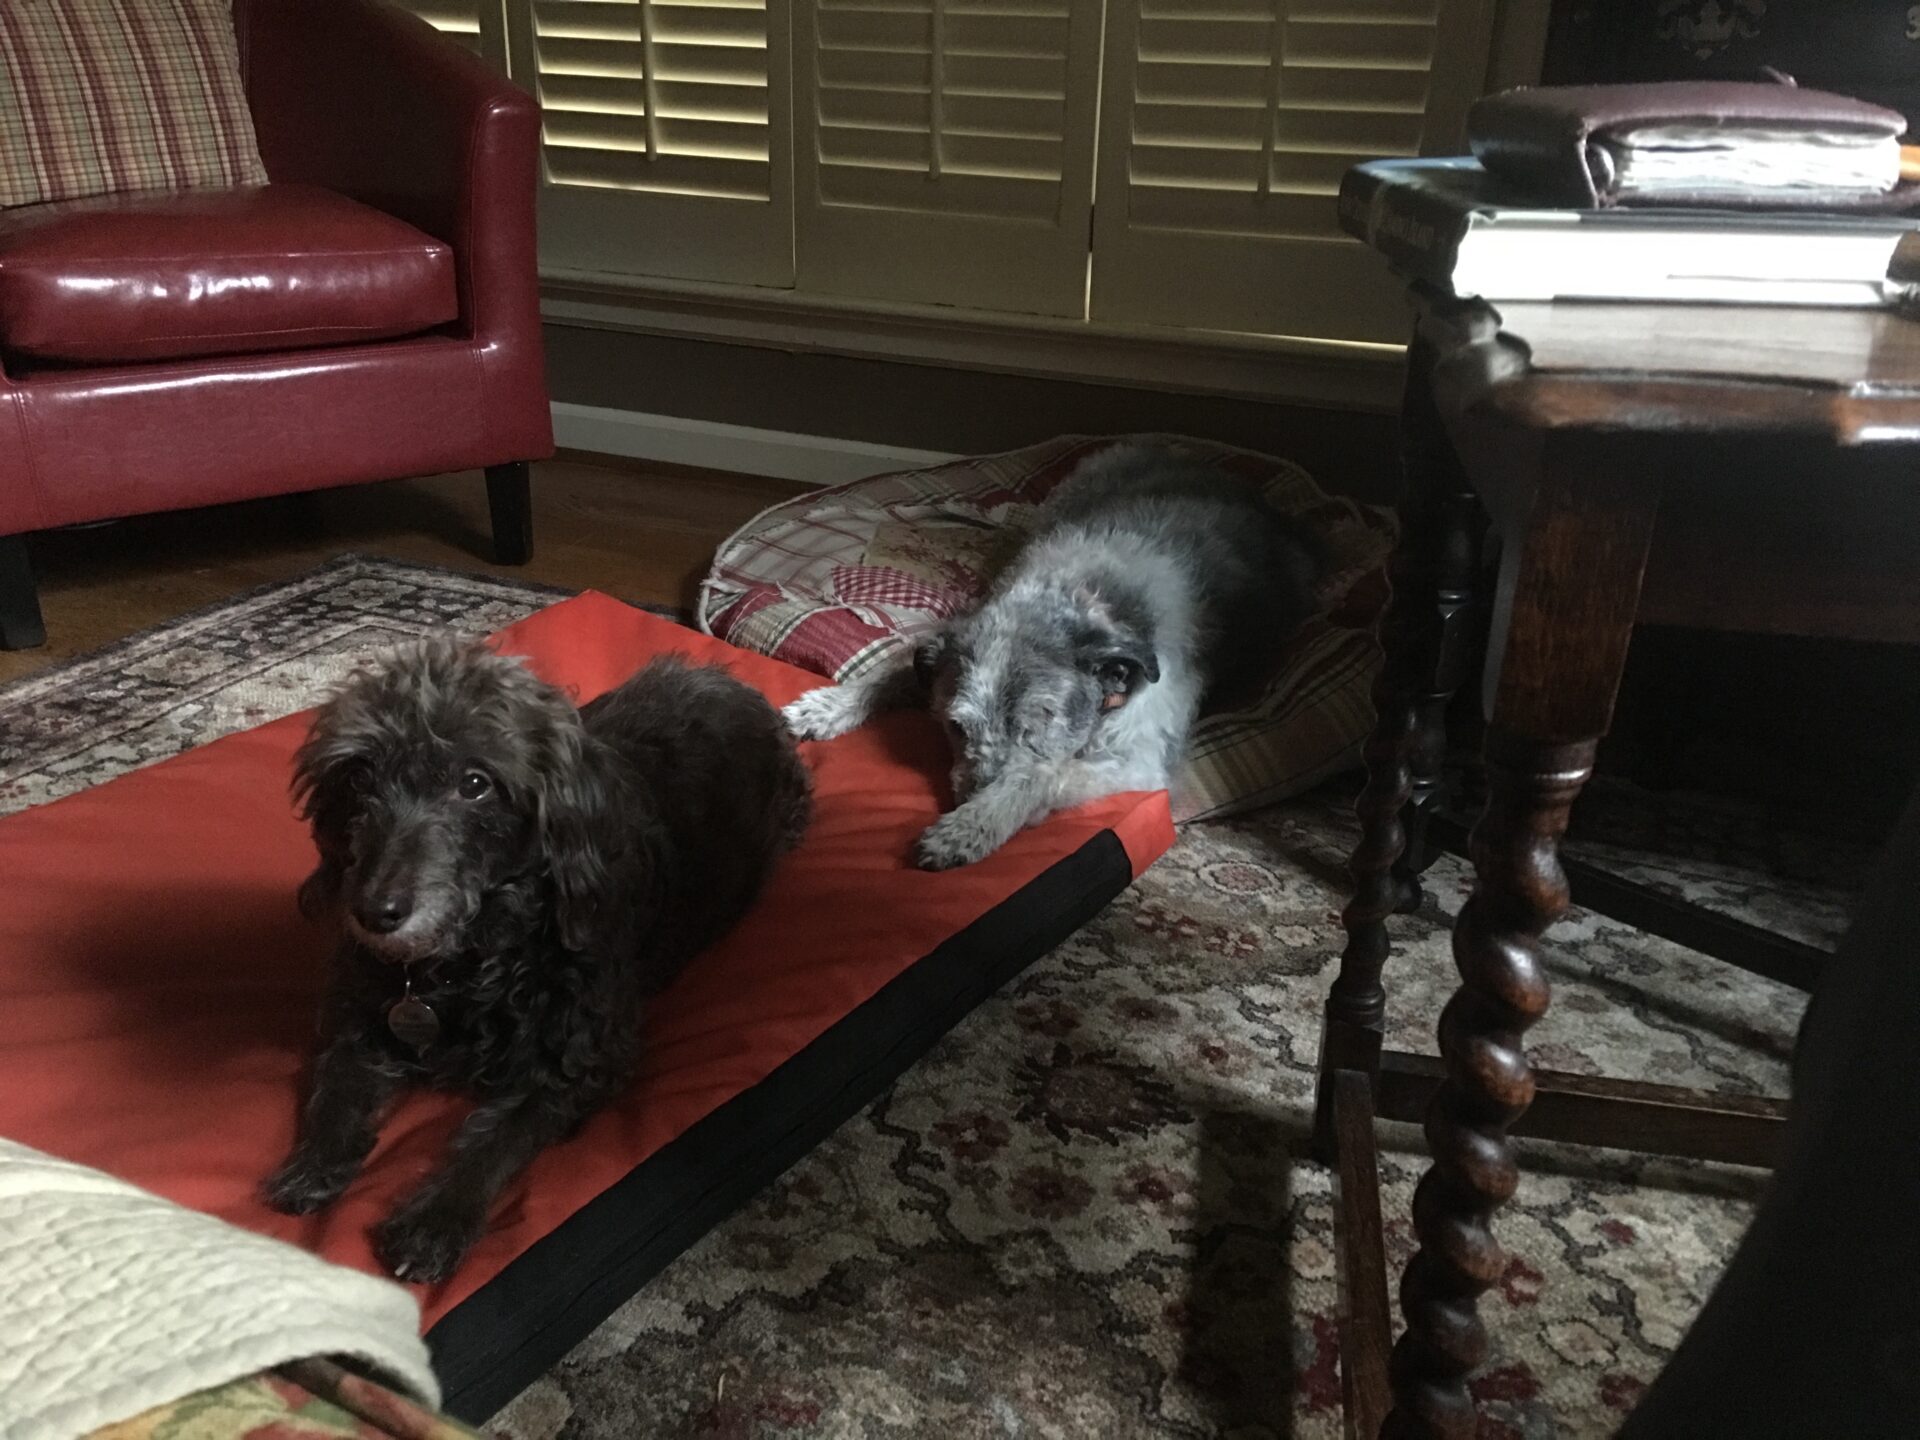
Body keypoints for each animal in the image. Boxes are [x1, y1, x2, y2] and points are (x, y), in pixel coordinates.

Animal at [263, 637, 812, 1283]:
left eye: (476, 782)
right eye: (359, 775)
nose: (374, 911)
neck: (465, 965)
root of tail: (732, 681)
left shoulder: (580, 1060)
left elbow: (496, 1141)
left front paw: (435, 1222)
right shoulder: (356, 1021)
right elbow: (335, 1089)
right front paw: (311, 1166)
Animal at [784, 443, 1325, 869]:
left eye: (1036, 727)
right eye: (956, 726)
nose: (973, 795)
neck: (1080, 596)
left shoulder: (1140, 758)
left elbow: (1042, 772)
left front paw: (970, 827)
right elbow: (891, 667)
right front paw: (827, 707)